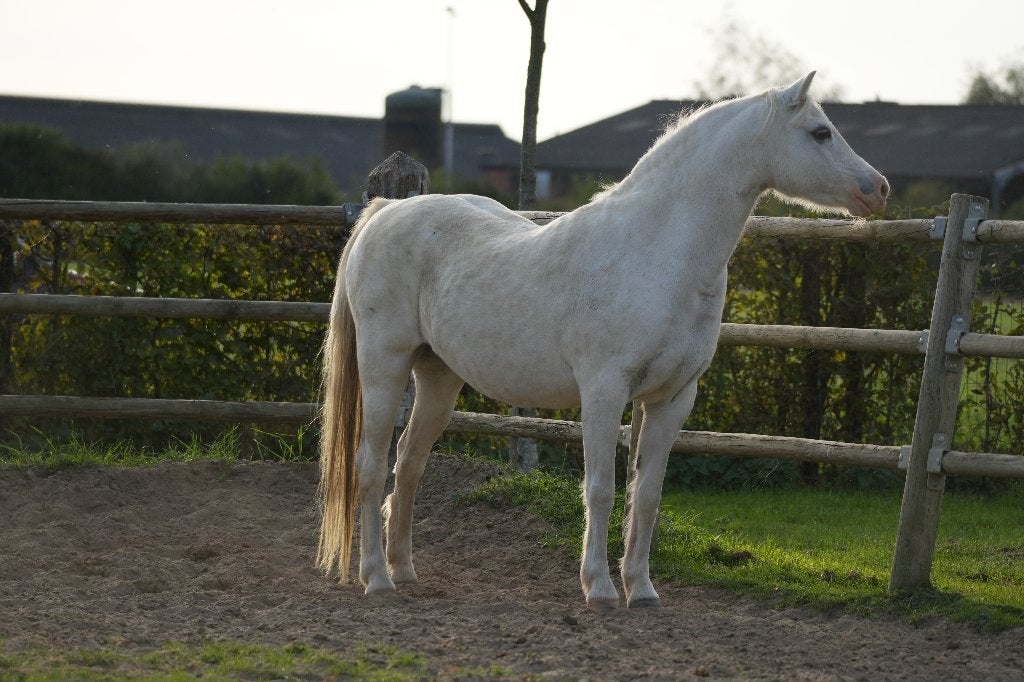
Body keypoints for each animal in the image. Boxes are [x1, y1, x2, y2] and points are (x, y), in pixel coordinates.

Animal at [317, 71, 888, 610]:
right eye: (820, 131)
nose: (878, 188)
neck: (657, 252)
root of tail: (385, 211)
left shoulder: (672, 399)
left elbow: (647, 496)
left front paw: (643, 590)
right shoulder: (604, 392)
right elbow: (600, 490)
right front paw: (601, 589)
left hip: (437, 377)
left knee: (409, 464)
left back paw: (404, 570)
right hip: (384, 365)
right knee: (371, 466)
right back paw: (376, 579)